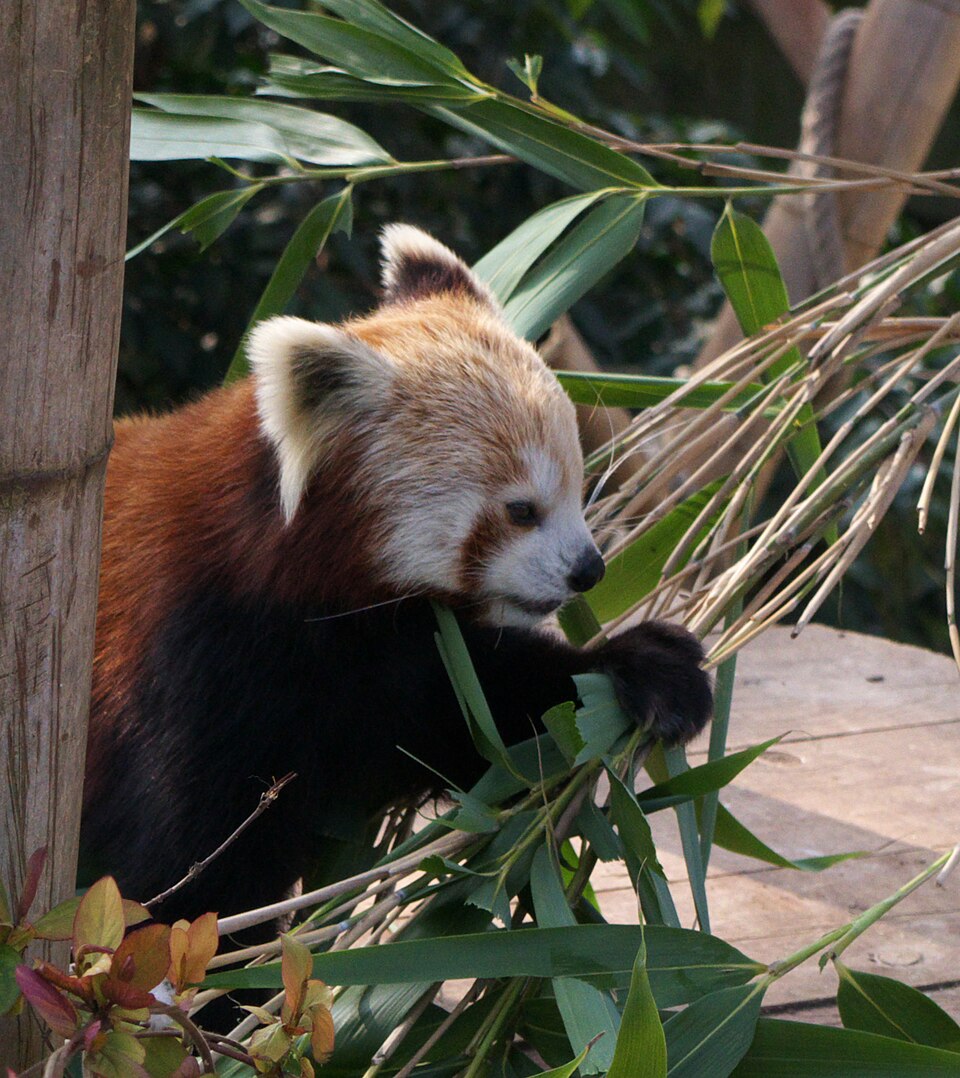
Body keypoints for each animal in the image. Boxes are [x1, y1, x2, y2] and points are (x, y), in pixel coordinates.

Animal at [81, 224, 712, 926]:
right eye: (521, 510)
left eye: (577, 487)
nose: (589, 571)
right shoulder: (195, 659)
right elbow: (185, 872)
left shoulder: (391, 663)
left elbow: (488, 721)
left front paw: (645, 666)